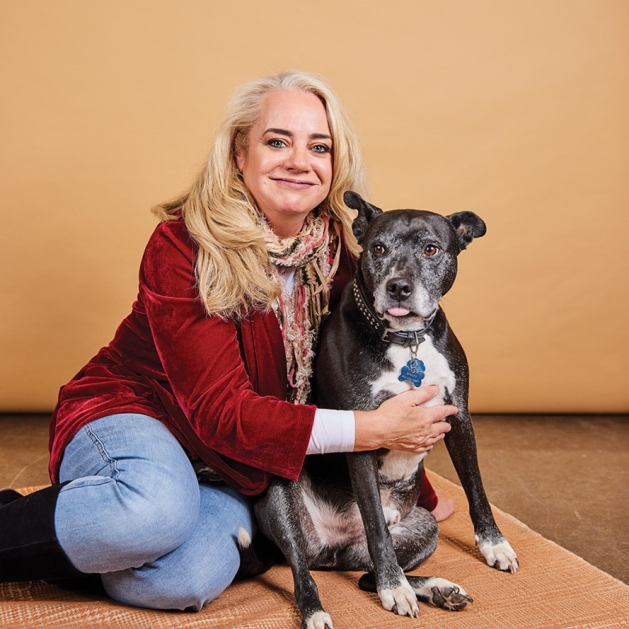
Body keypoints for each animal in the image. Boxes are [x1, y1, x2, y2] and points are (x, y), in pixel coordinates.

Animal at [240, 193, 516, 628]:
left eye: (431, 249)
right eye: (378, 249)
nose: (399, 287)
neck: (408, 340)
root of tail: (331, 546)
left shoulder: (458, 417)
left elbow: (476, 487)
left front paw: (494, 544)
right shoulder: (363, 435)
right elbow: (374, 522)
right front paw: (394, 588)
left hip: (424, 526)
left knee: (362, 576)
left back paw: (436, 589)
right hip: (280, 492)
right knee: (303, 571)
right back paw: (323, 609)